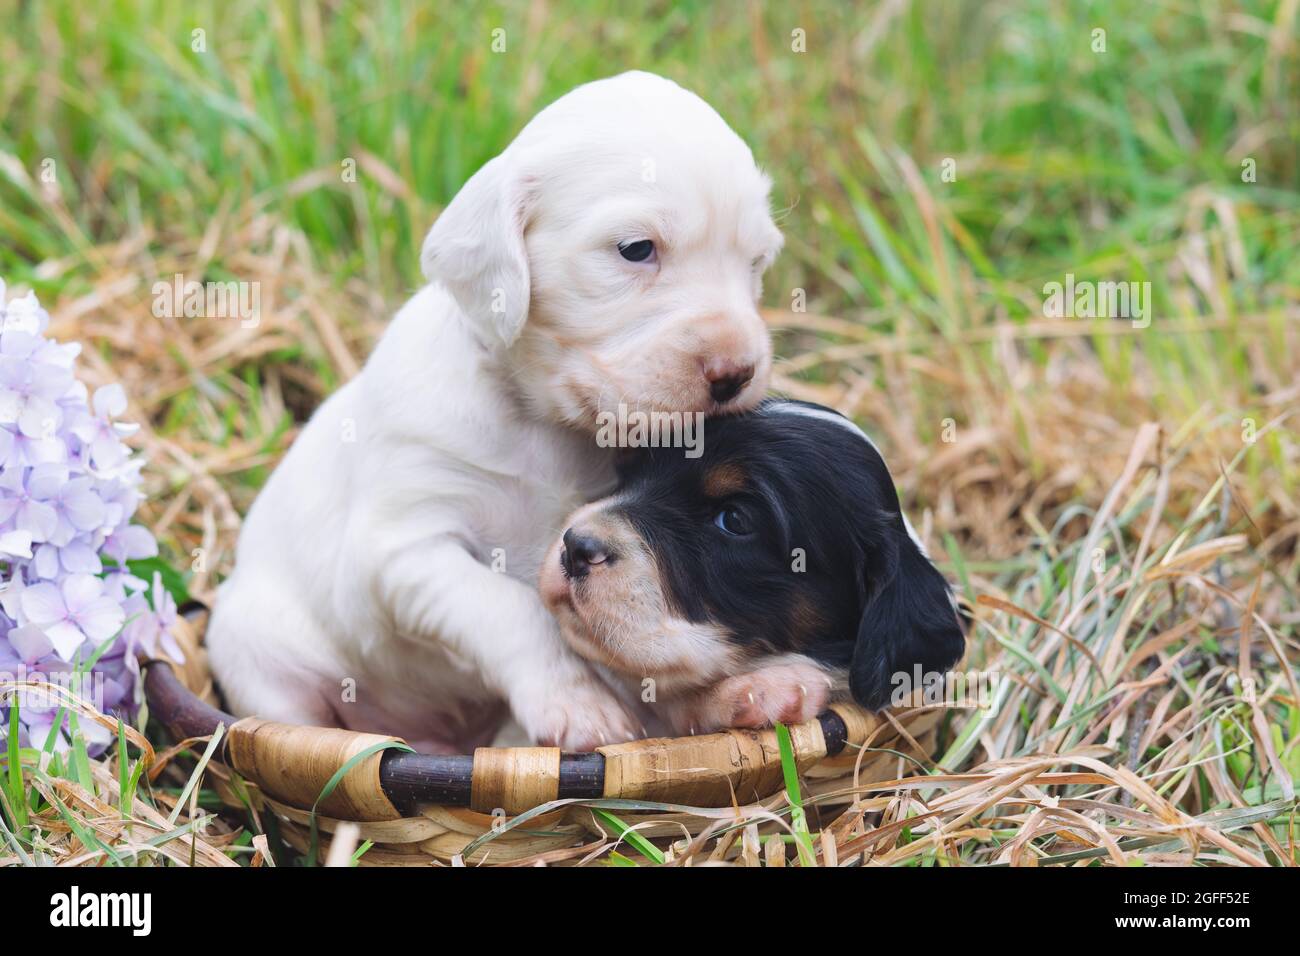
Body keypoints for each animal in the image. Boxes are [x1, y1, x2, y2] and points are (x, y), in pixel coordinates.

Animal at [208, 70, 780, 749]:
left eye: (756, 262)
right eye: (636, 249)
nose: (737, 372)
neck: (547, 426)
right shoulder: (402, 549)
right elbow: (507, 608)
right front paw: (575, 701)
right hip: (256, 656)